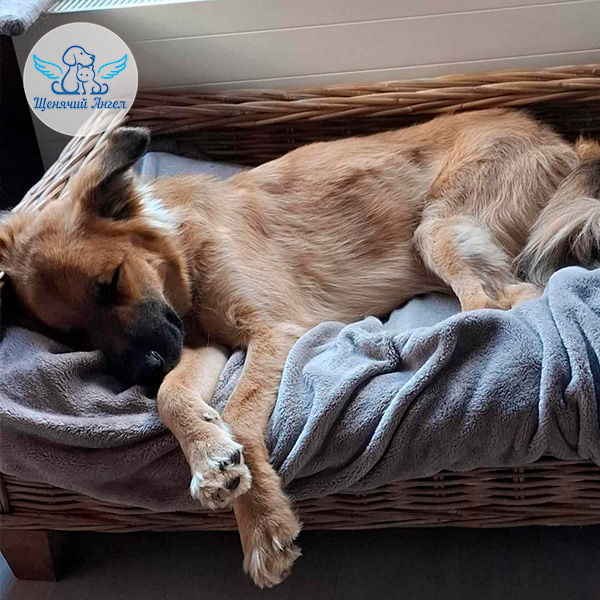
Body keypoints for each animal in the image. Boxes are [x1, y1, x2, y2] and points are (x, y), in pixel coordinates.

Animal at [1, 108, 599, 587]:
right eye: (73, 335)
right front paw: (208, 455)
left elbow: (242, 416)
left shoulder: (273, 331)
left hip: (440, 227)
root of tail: (567, 144)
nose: (142, 373)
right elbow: (175, 396)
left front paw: (262, 526)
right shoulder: (197, 342)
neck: (181, 244)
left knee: (505, 301)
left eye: (109, 283)